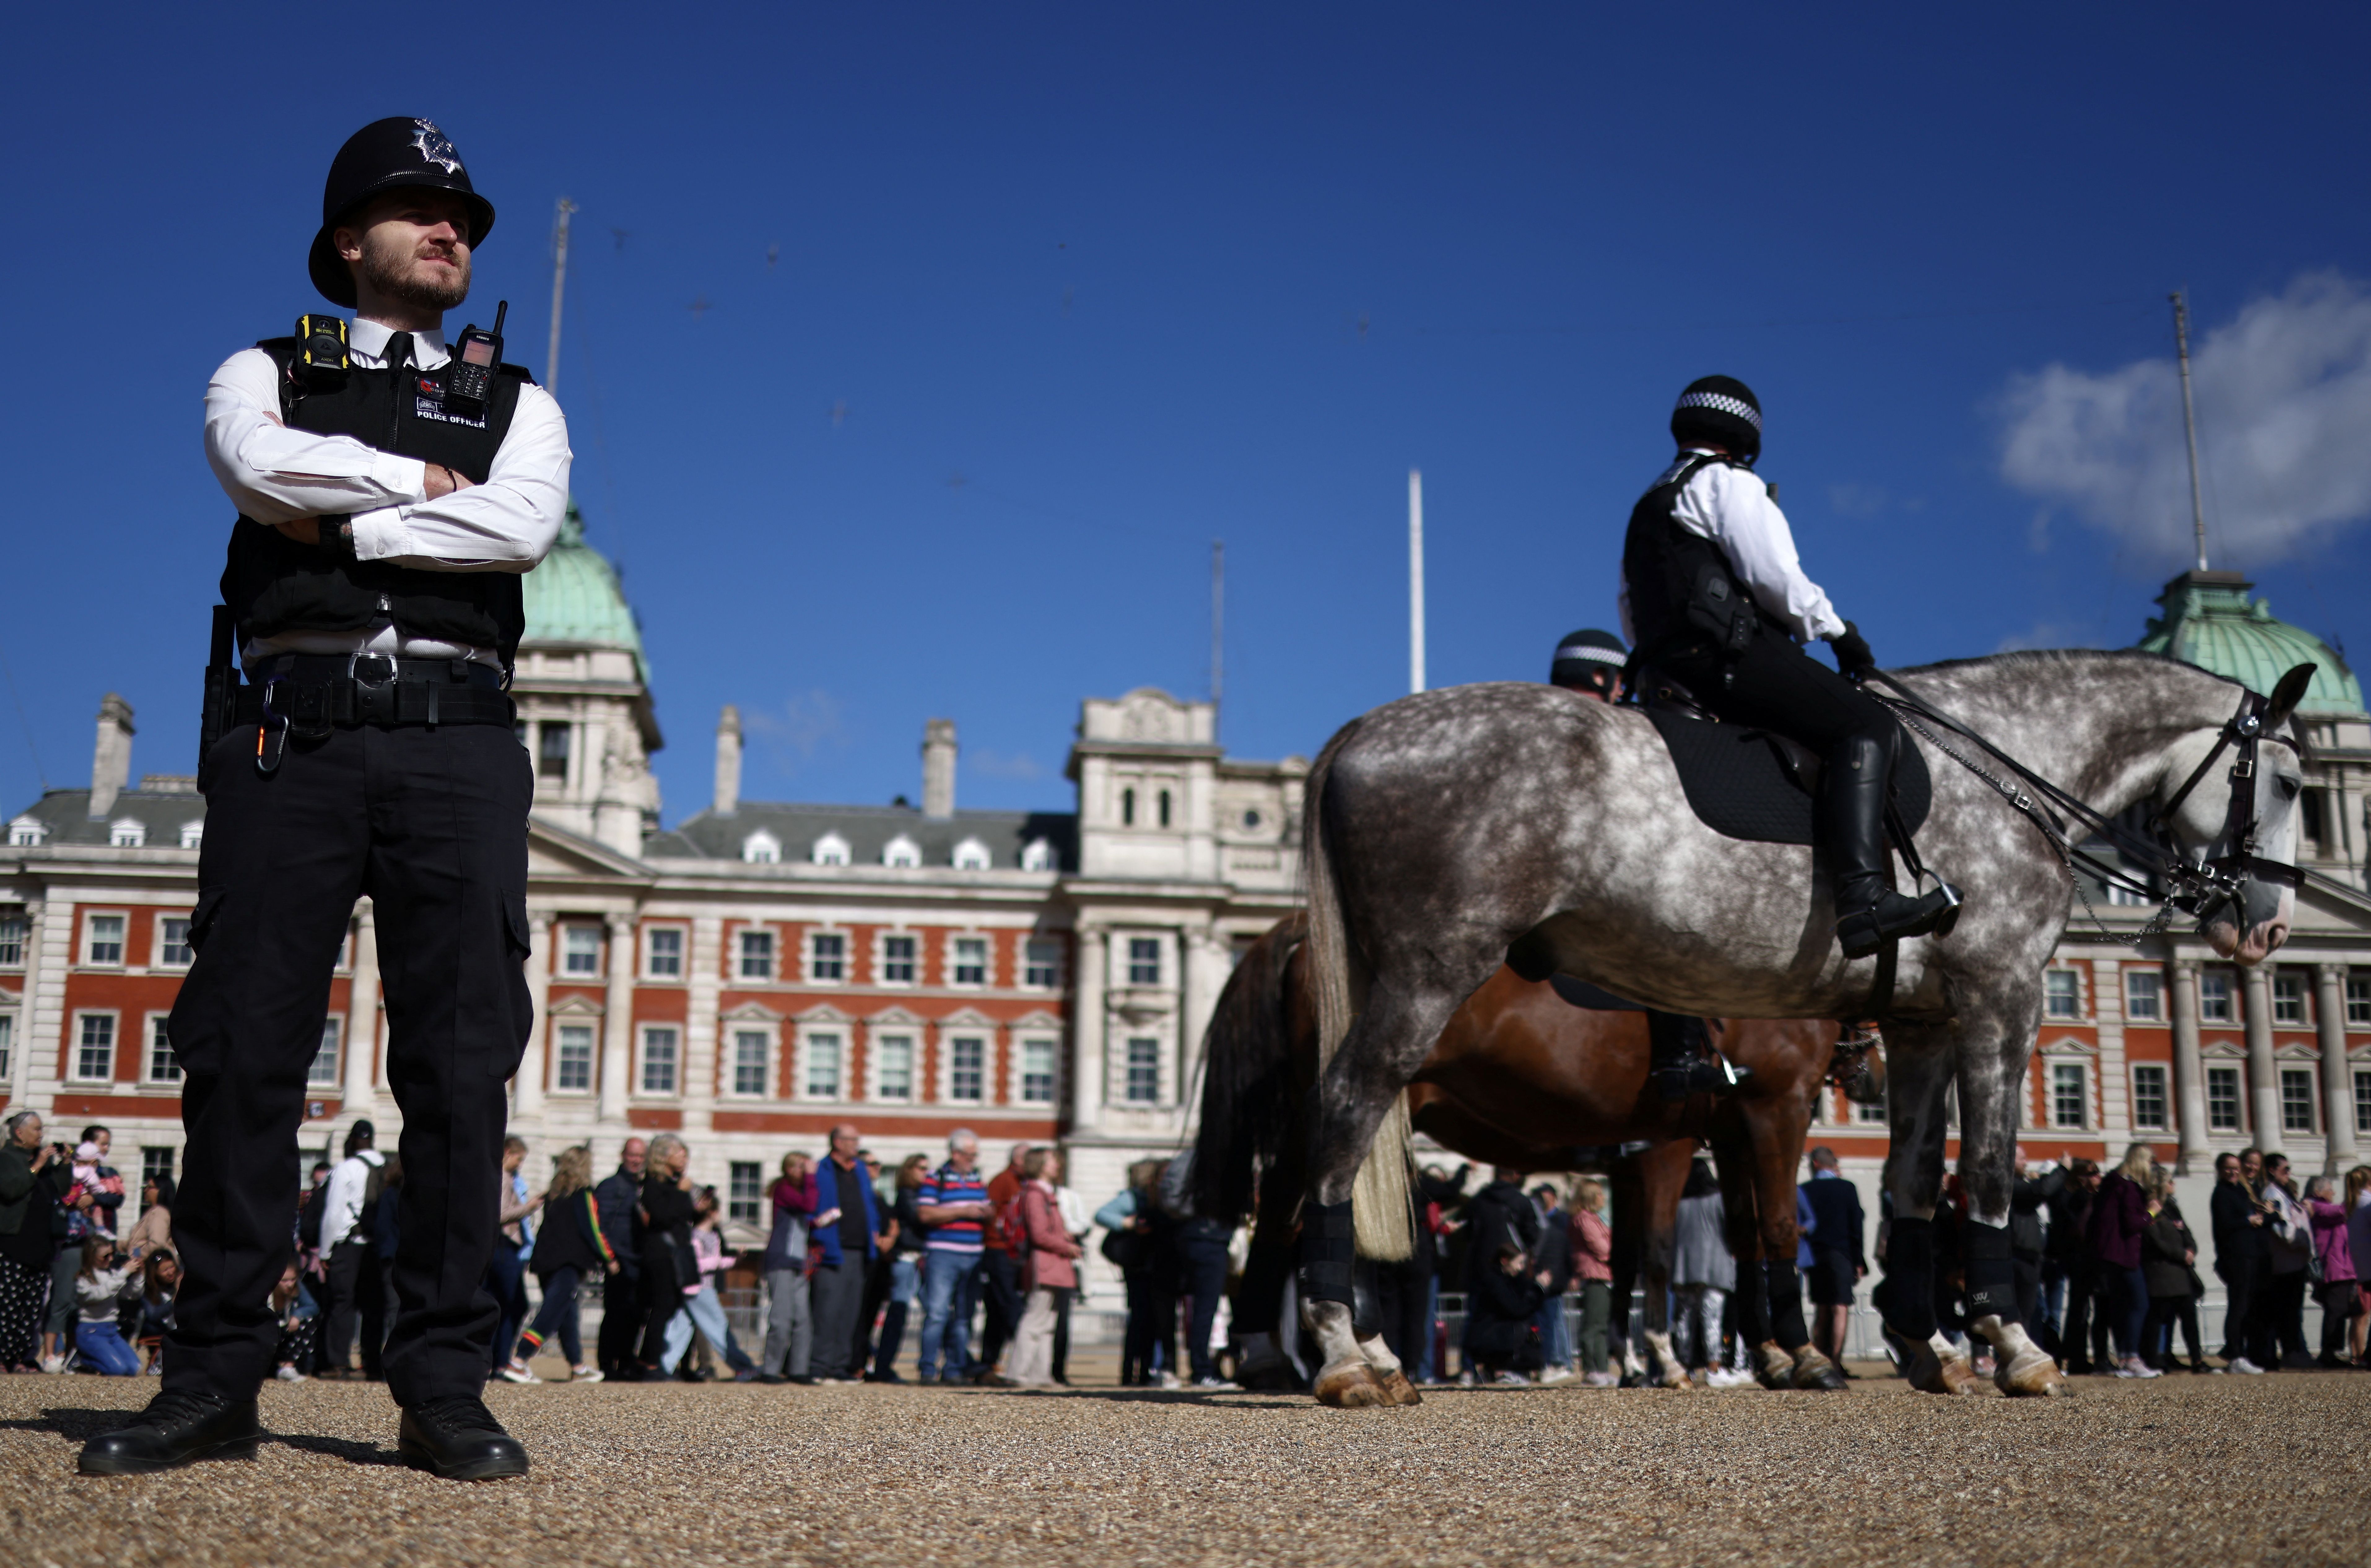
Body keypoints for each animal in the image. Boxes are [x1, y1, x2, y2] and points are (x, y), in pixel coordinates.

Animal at [1193, 912, 1856, 1399]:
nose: (1864, 1066)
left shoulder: (1718, 1132)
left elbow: (1707, 1242)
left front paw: (1752, 1356)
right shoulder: (1752, 1118)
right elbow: (1723, 1238)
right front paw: (1796, 1356)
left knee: (1292, 1210)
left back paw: (1304, 1355)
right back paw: (1333, 1355)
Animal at [1287, 650, 2311, 1407]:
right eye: (2295, 781)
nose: (2268, 926)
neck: (1998, 771)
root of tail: (1358, 731)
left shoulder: (1919, 1024)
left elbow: (1907, 1181)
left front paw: (1925, 1342)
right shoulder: (1996, 997)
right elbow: (1977, 1172)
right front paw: (2010, 1341)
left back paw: (1368, 1351)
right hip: (1427, 976)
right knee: (1338, 1122)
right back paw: (1344, 1355)